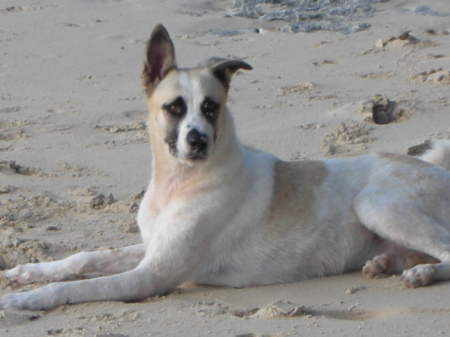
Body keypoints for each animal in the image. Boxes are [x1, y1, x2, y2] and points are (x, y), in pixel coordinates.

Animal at [2, 24, 450, 310]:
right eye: (174, 108)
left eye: (211, 108)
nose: (198, 141)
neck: (178, 182)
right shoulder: (152, 247)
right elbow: (86, 258)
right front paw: (27, 271)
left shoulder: (153, 275)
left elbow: (74, 288)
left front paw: (23, 299)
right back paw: (386, 264)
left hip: (376, 205)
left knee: (446, 250)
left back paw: (423, 274)